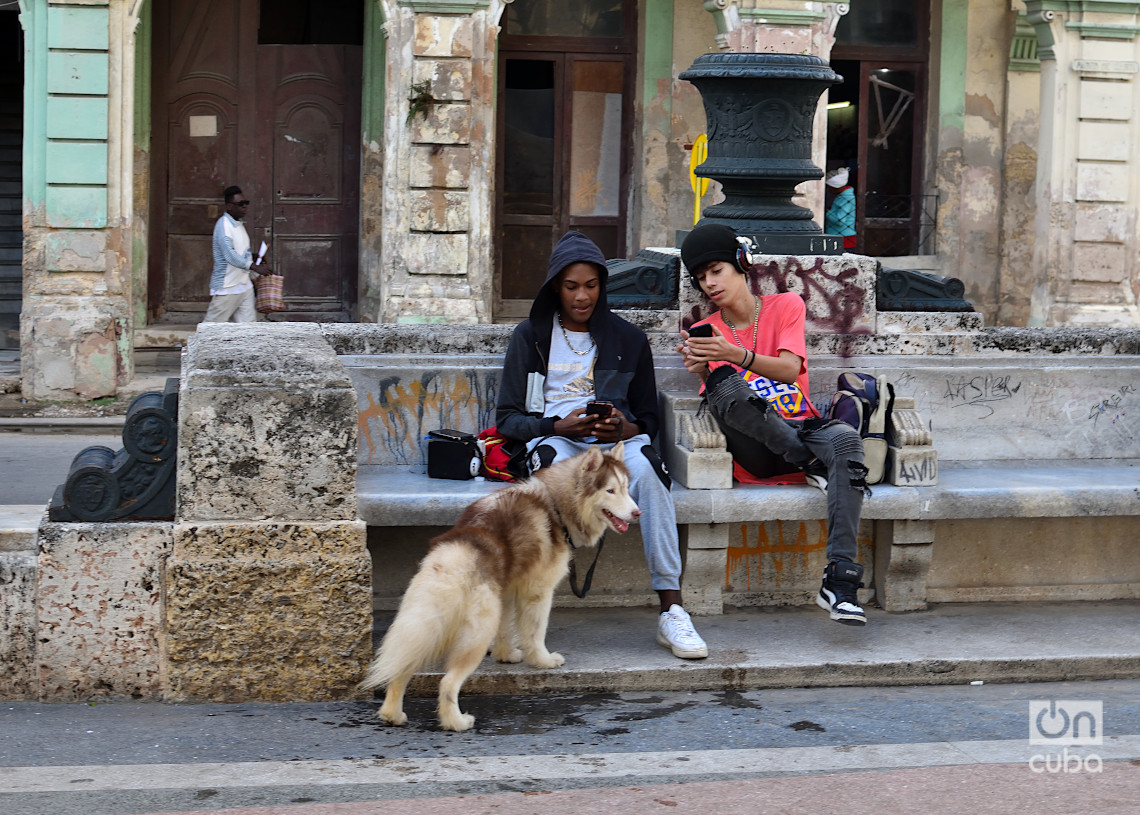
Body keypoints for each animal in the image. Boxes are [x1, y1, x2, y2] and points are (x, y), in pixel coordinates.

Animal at [357, 442, 642, 738]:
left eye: (626, 487)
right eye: (610, 490)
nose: (637, 513)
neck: (555, 506)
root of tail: (456, 555)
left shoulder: (506, 590)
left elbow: (506, 628)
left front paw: (506, 656)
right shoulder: (538, 591)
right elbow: (534, 633)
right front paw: (542, 660)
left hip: (425, 623)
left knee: (402, 668)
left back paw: (393, 714)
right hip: (476, 634)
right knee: (447, 683)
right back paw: (456, 722)